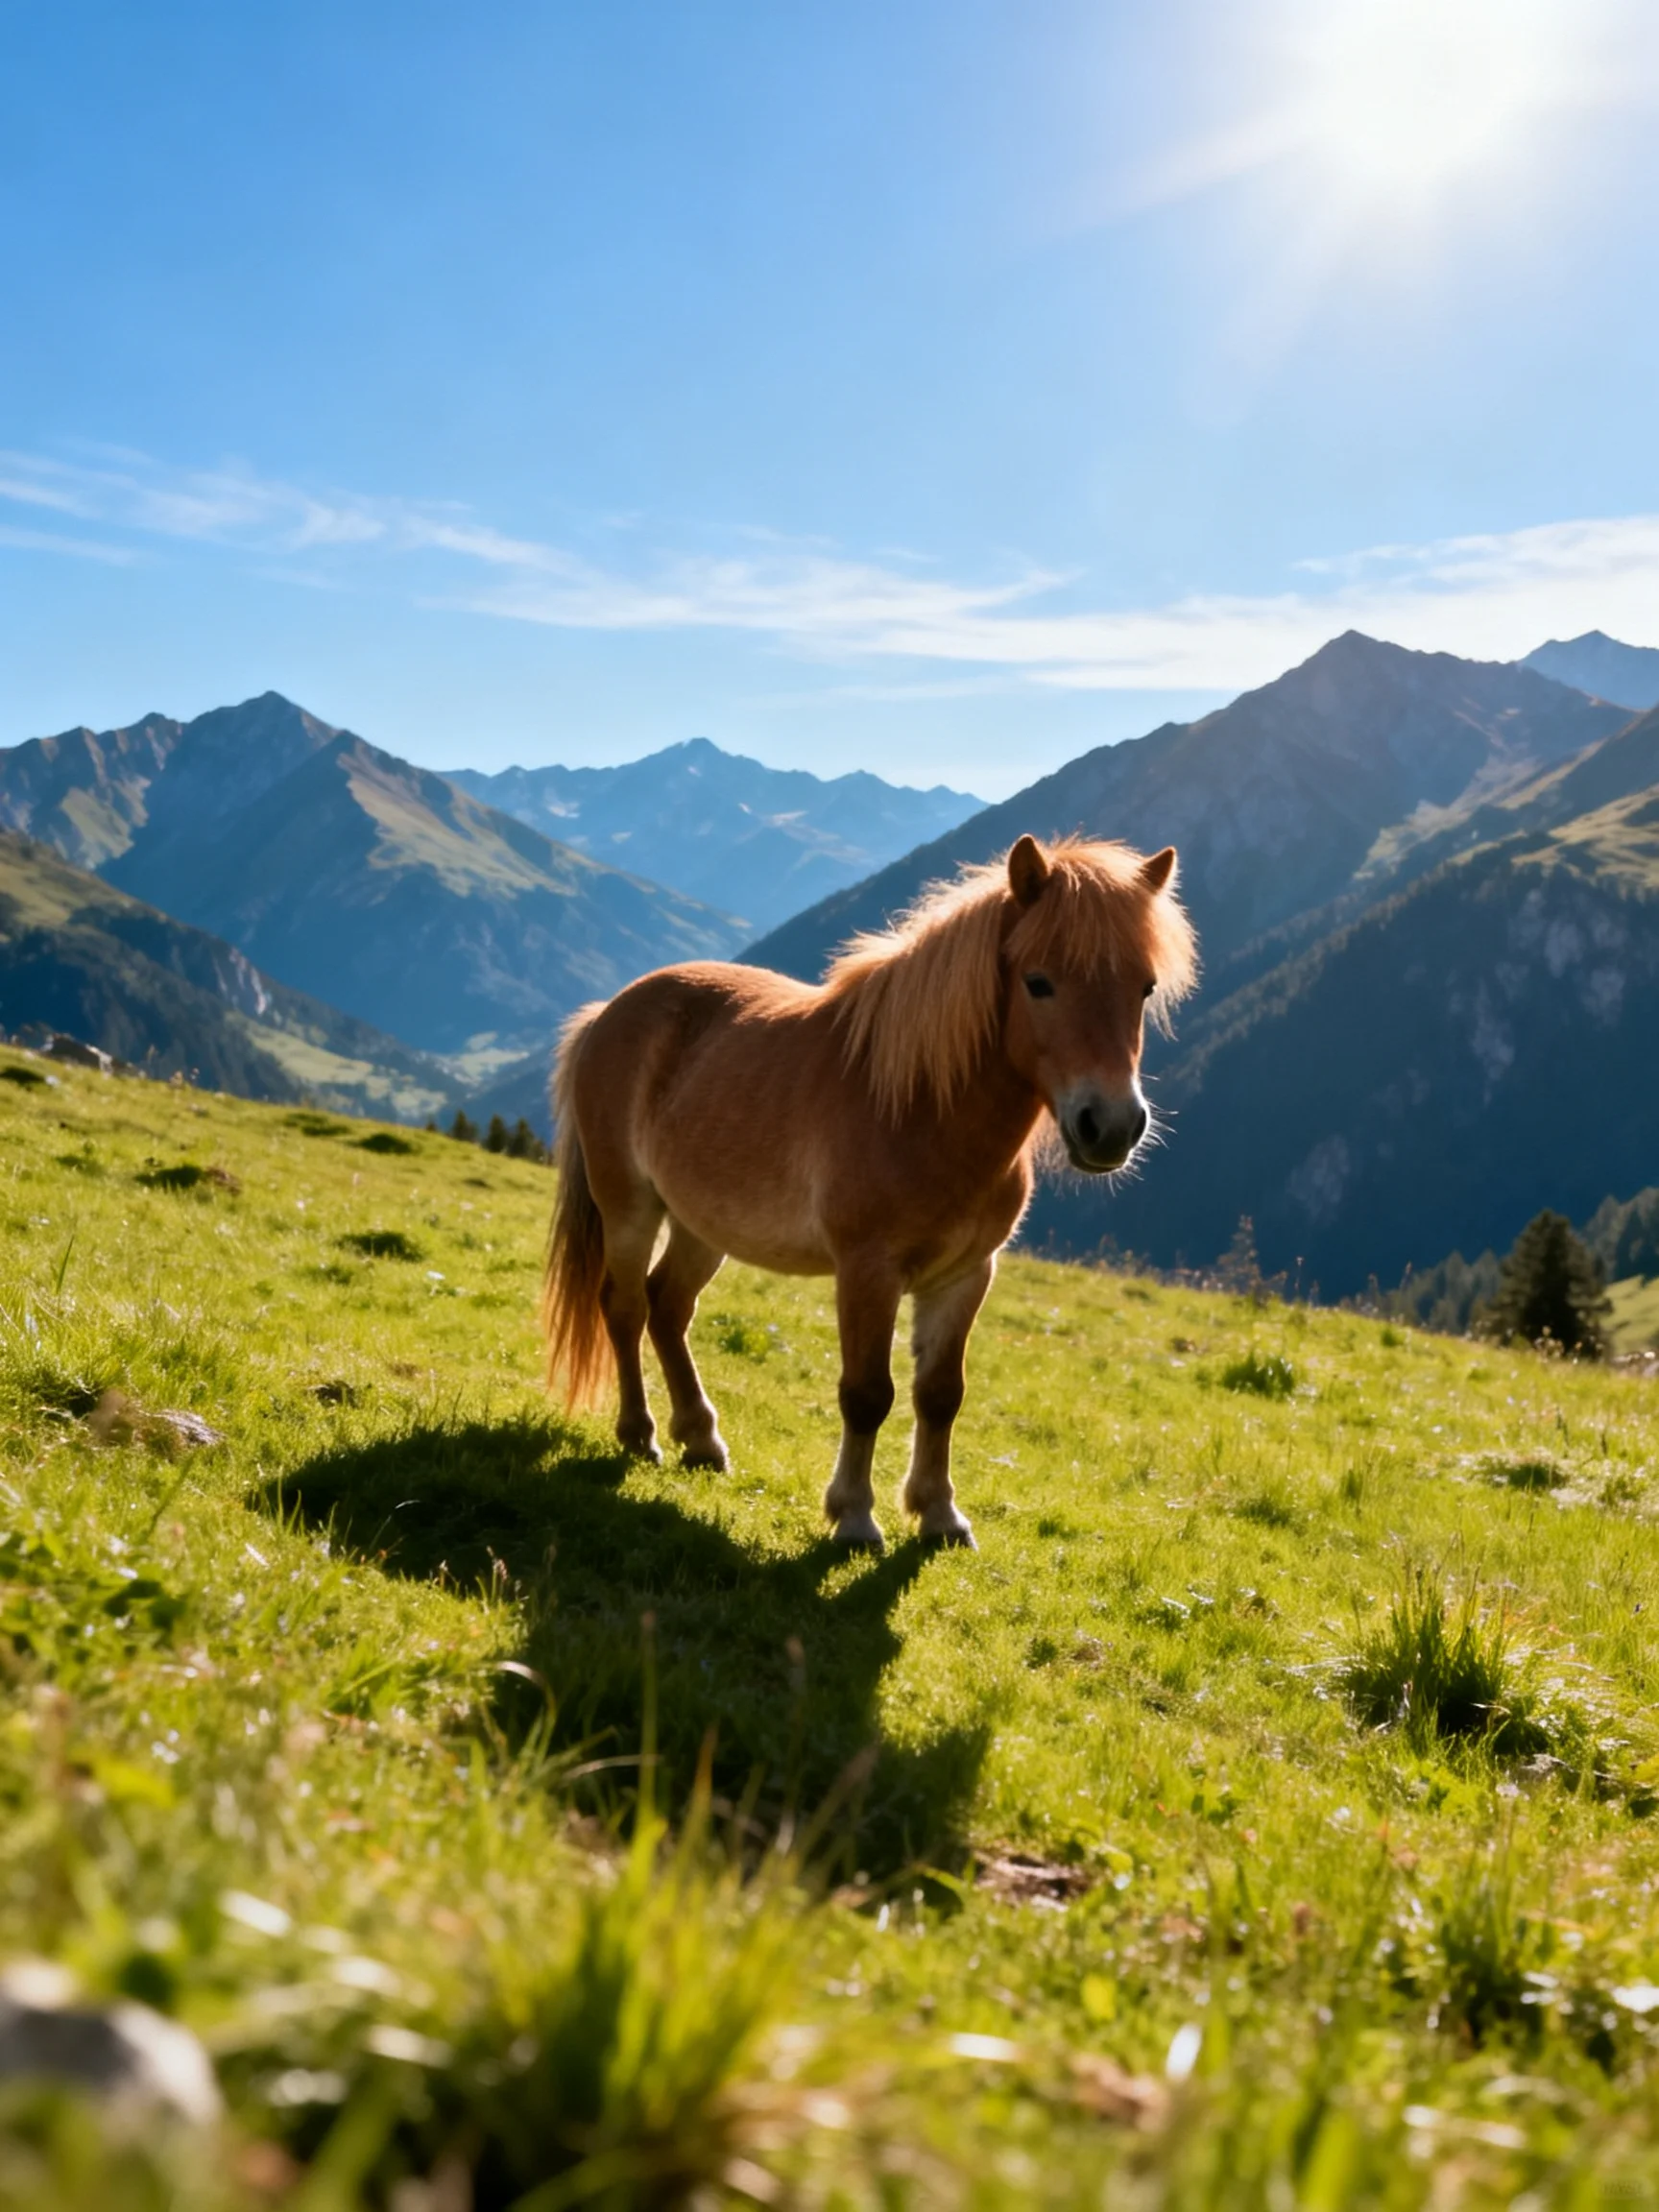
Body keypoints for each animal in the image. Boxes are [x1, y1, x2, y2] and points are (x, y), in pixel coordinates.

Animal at [541, 832, 1198, 1552]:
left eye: (1144, 988)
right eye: (1039, 982)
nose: (1111, 1126)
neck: (923, 1110)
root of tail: (609, 1012)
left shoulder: (966, 1276)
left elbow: (940, 1394)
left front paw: (939, 1514)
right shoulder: (867, 1272)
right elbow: (866, 1393)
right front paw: (854, 1516)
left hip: (700, 1225)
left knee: (667, 1306)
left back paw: (703, 1441)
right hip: (629, 1207)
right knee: (625, 1306)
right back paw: (641, 1435)